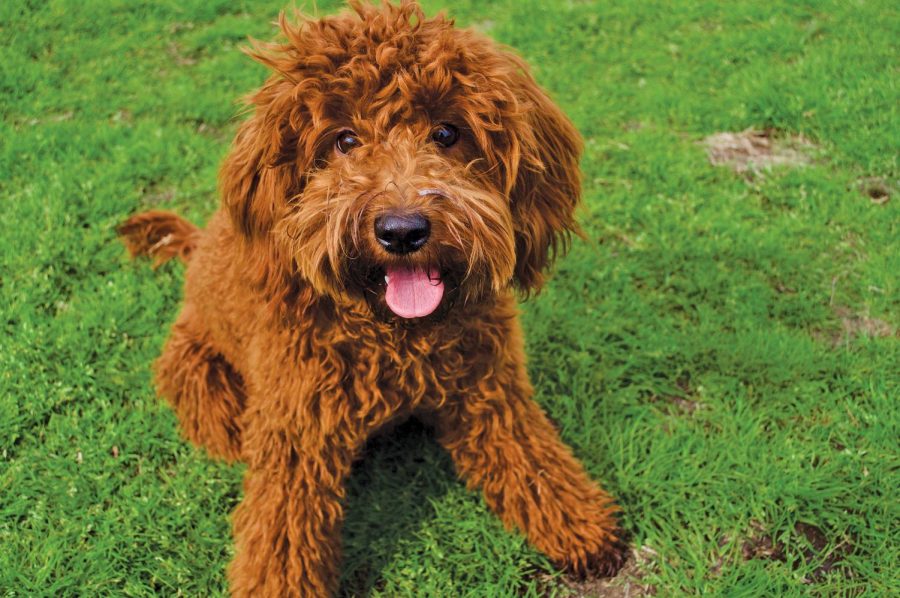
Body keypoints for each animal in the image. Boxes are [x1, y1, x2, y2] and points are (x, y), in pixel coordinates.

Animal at [119, 0, 624, 596]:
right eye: (344, 140)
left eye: (447, 133)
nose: (402, 230)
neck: (394, 335)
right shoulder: (296, 431)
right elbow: (282, 529)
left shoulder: (491, 391)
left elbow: (533, 460)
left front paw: (579, 524)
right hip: (201, 372)